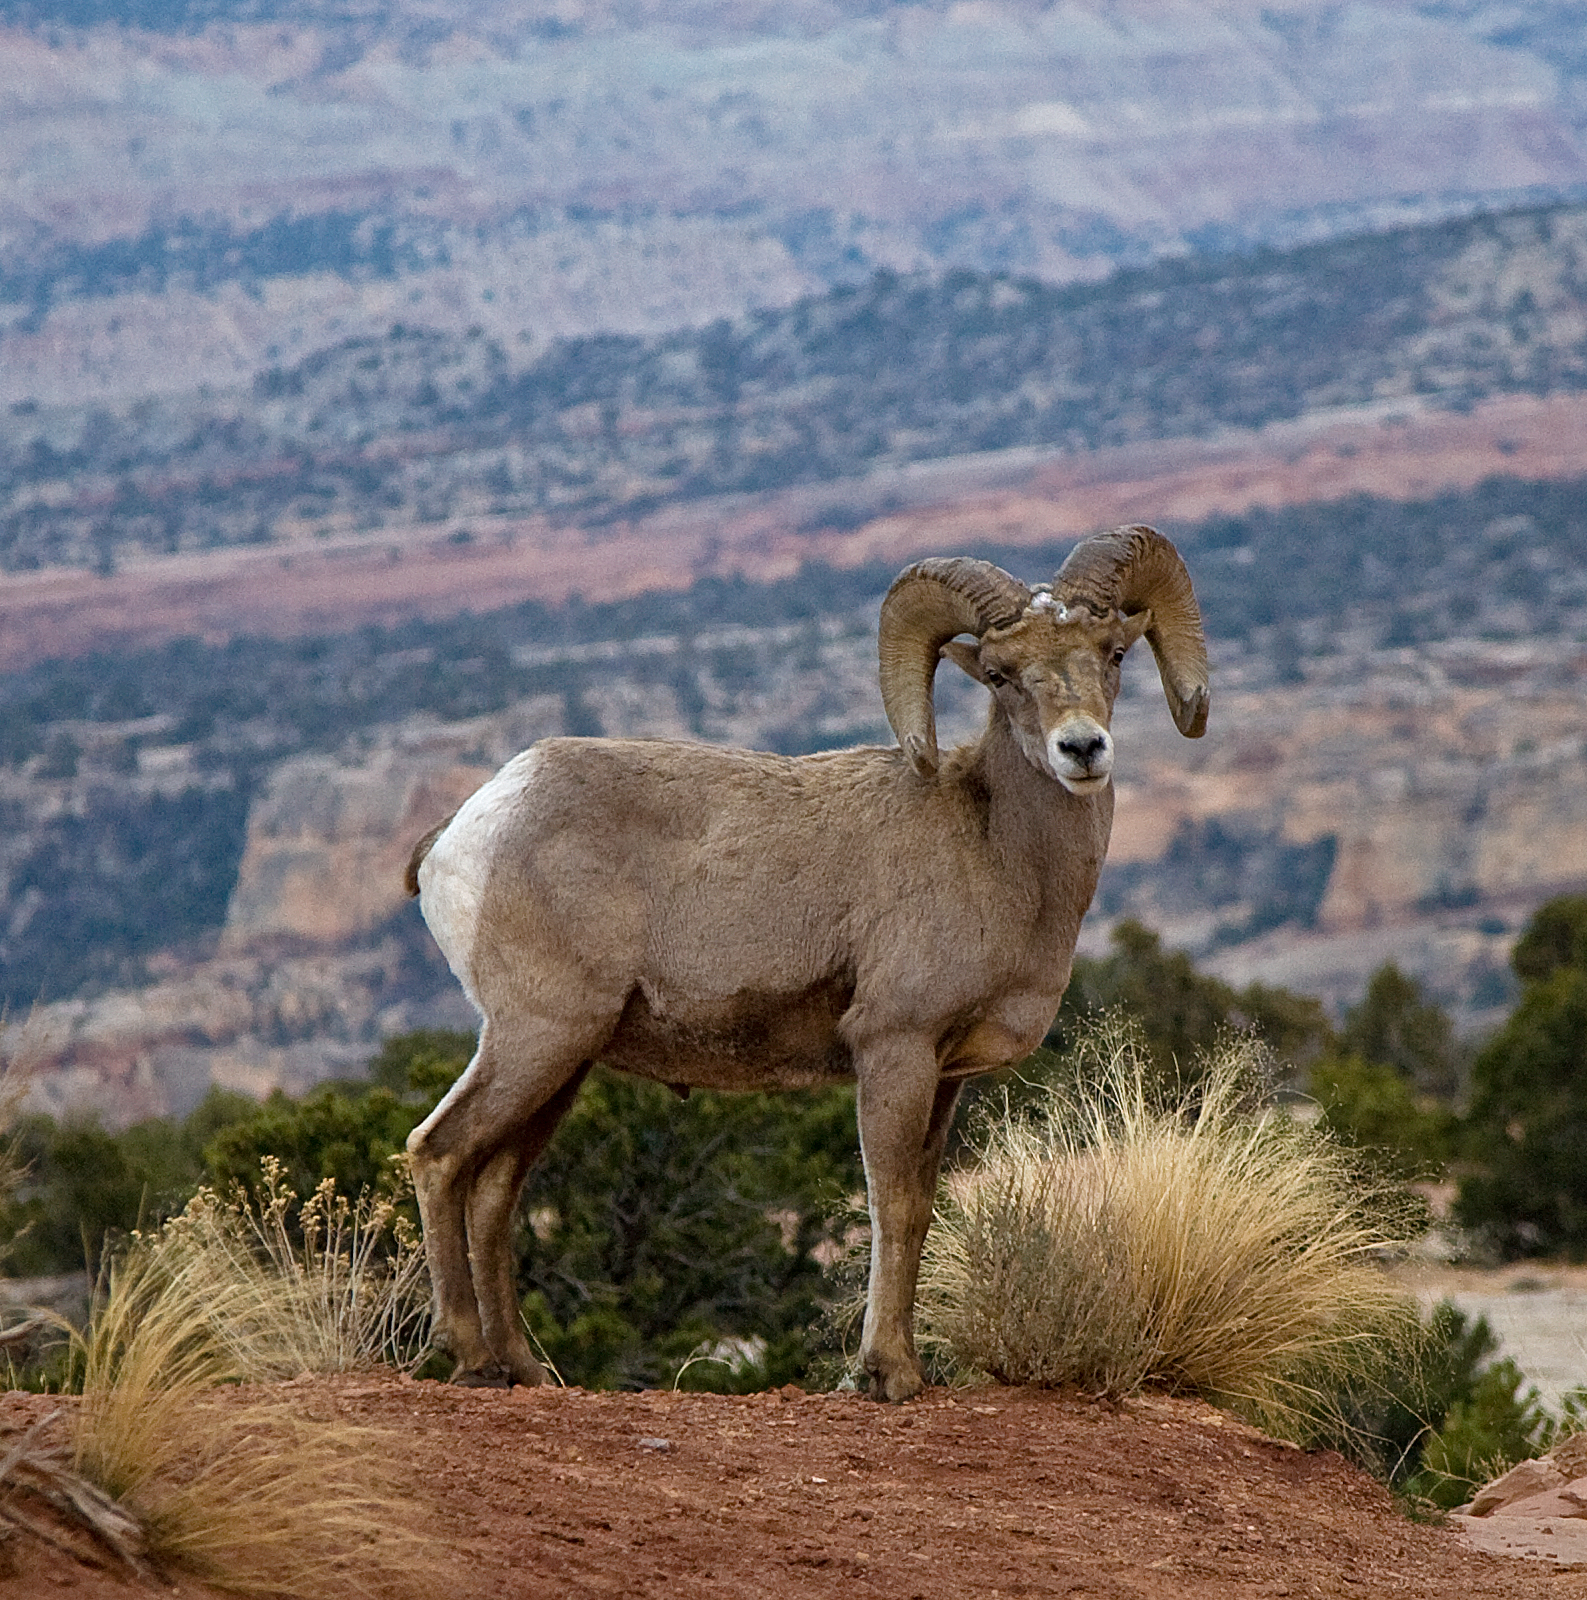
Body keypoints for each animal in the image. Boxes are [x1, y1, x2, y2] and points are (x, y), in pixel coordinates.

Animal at [403, 524, 1209, 1401]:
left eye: (1112, 654)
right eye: (1000, 674)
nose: (1081, 749)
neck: (995, 852)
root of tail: (465, 829)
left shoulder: (944, 1077)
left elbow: (920, 1209)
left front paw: (904, 1369)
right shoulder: (893, 1049)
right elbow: (888, 1205)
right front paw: (884, 1375)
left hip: (564, 1062)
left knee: (493, 1191)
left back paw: (524, 1370)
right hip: (536, 1036)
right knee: (440, 1154)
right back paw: (472, 1359)